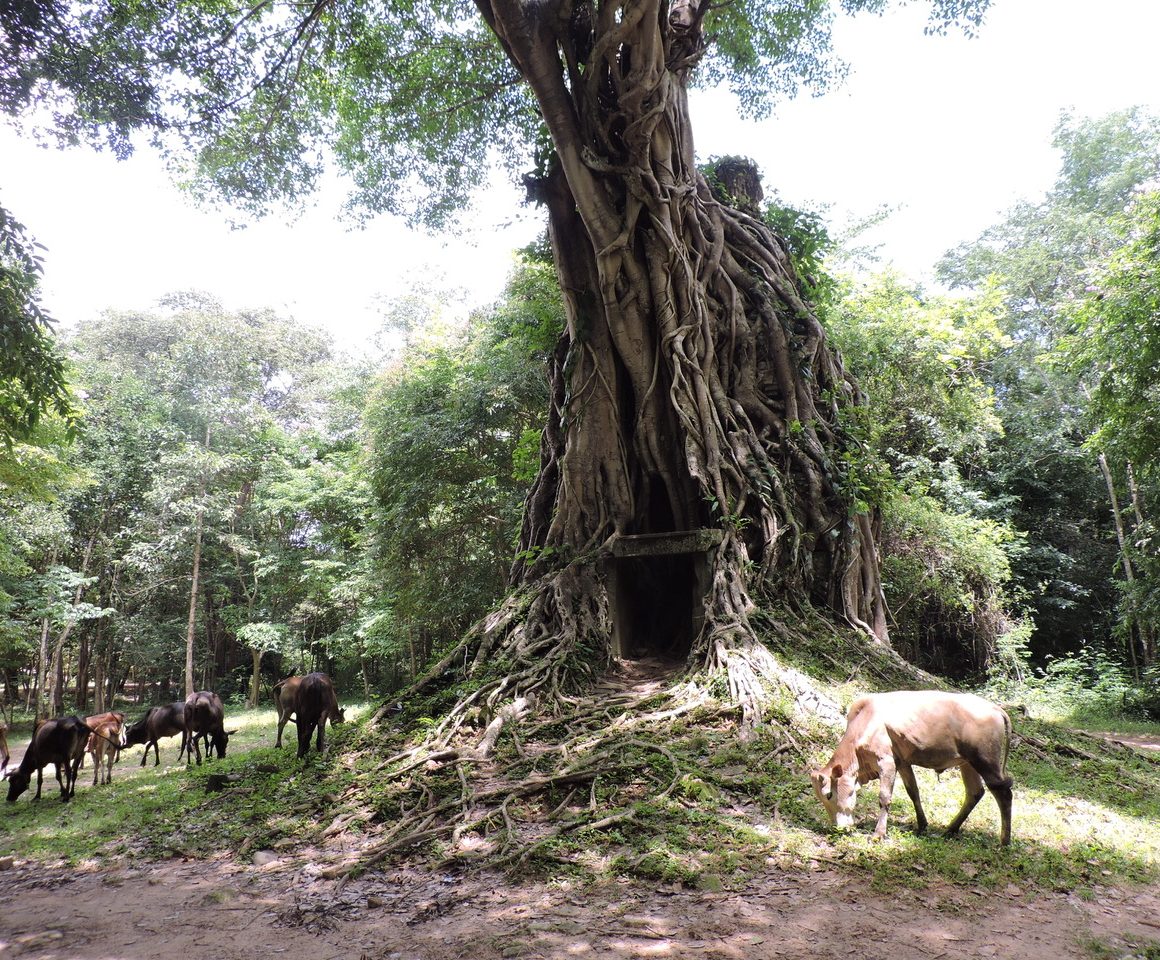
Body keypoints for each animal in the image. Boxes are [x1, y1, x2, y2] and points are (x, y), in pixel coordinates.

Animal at [812, 691, 1011, 848]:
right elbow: (913, 792)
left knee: (1003, 792)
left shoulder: (887, 761)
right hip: (967, 763)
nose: (838, 827)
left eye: (829, 794)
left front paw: (878, 835)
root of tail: (995, 708)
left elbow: (884, 797)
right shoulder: (902, 762)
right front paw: (922, 825)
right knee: (975, 792)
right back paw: (950, 830)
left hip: (985, 761)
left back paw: (1004, 841)